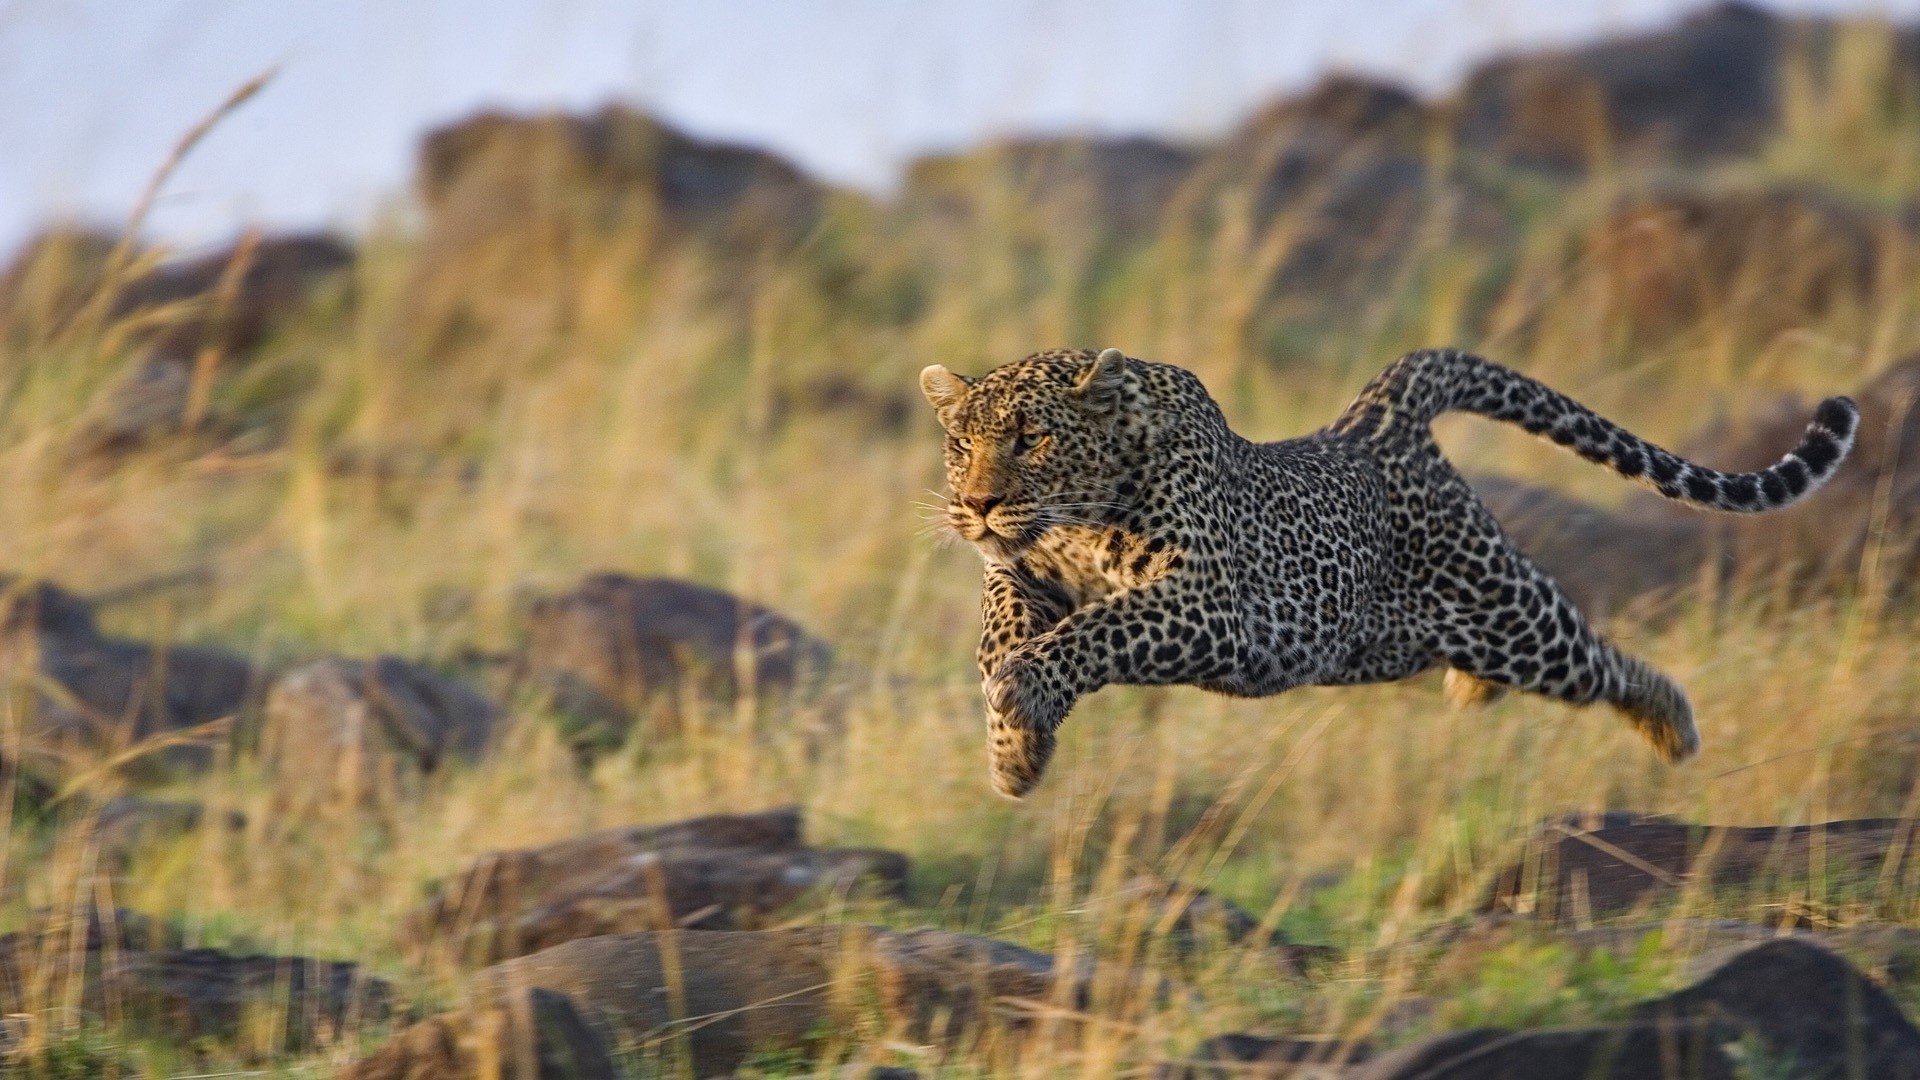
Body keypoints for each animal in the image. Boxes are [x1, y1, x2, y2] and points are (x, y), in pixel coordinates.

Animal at [917, 349, 1858, 795]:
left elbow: (1102, 627)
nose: (976, 503)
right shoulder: (1028, 572)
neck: (1078, 516)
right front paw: (1014, 743)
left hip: (1511, 615)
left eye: (1033, 438)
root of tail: (1376, 417)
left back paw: (1672, 725)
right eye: (961, 442)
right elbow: (1002, 616)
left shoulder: (1213, 604)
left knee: (1599, 660)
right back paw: (1474, 693)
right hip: (1389, 642)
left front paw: (1025, 690)